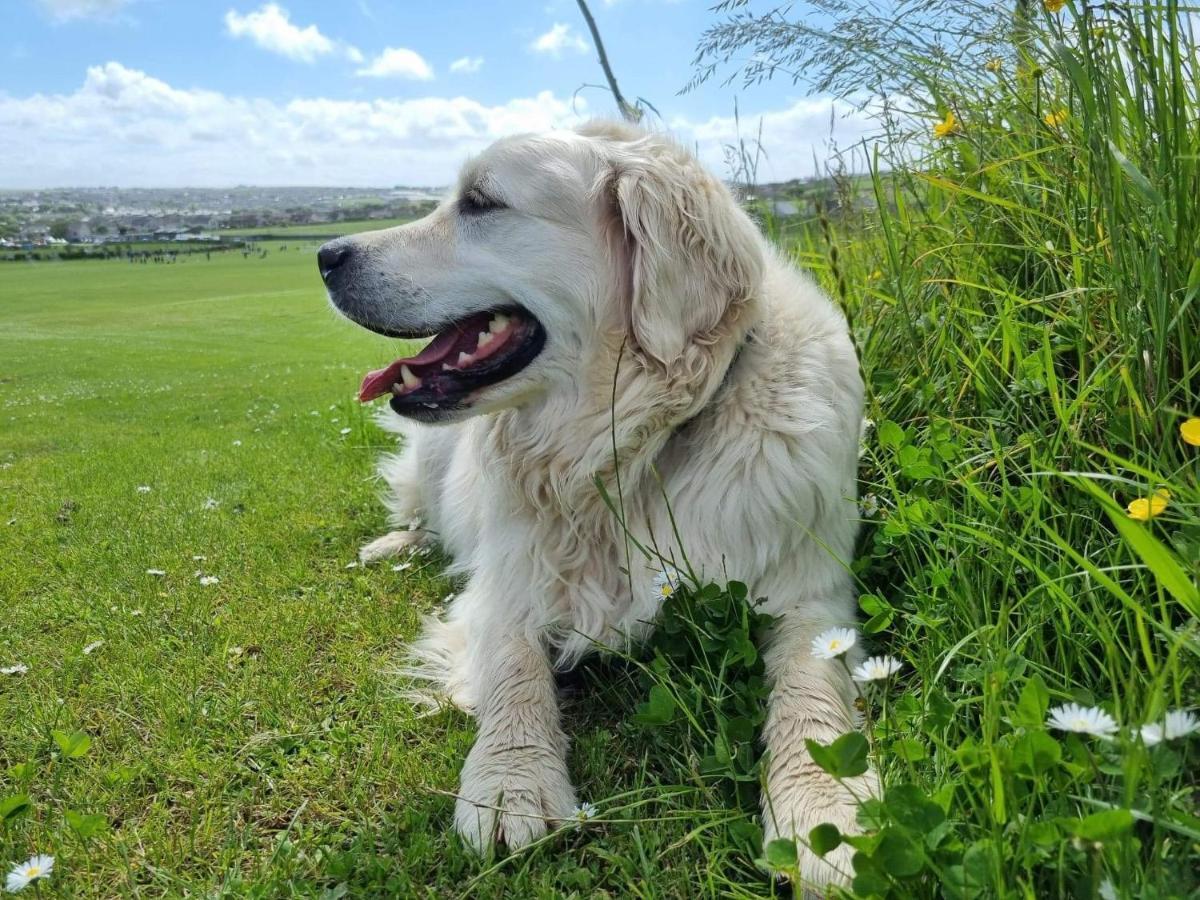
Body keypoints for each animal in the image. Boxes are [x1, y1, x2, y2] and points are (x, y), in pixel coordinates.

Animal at [319, 121, 878, 897]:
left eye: (481, 202)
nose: (324, 255)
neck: (628, 450)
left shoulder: (811, 597)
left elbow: (812, 690)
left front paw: (826, 810)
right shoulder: (505, 588)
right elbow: (514, 674)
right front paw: (511, 783)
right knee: (420, 515)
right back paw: (393, 545)